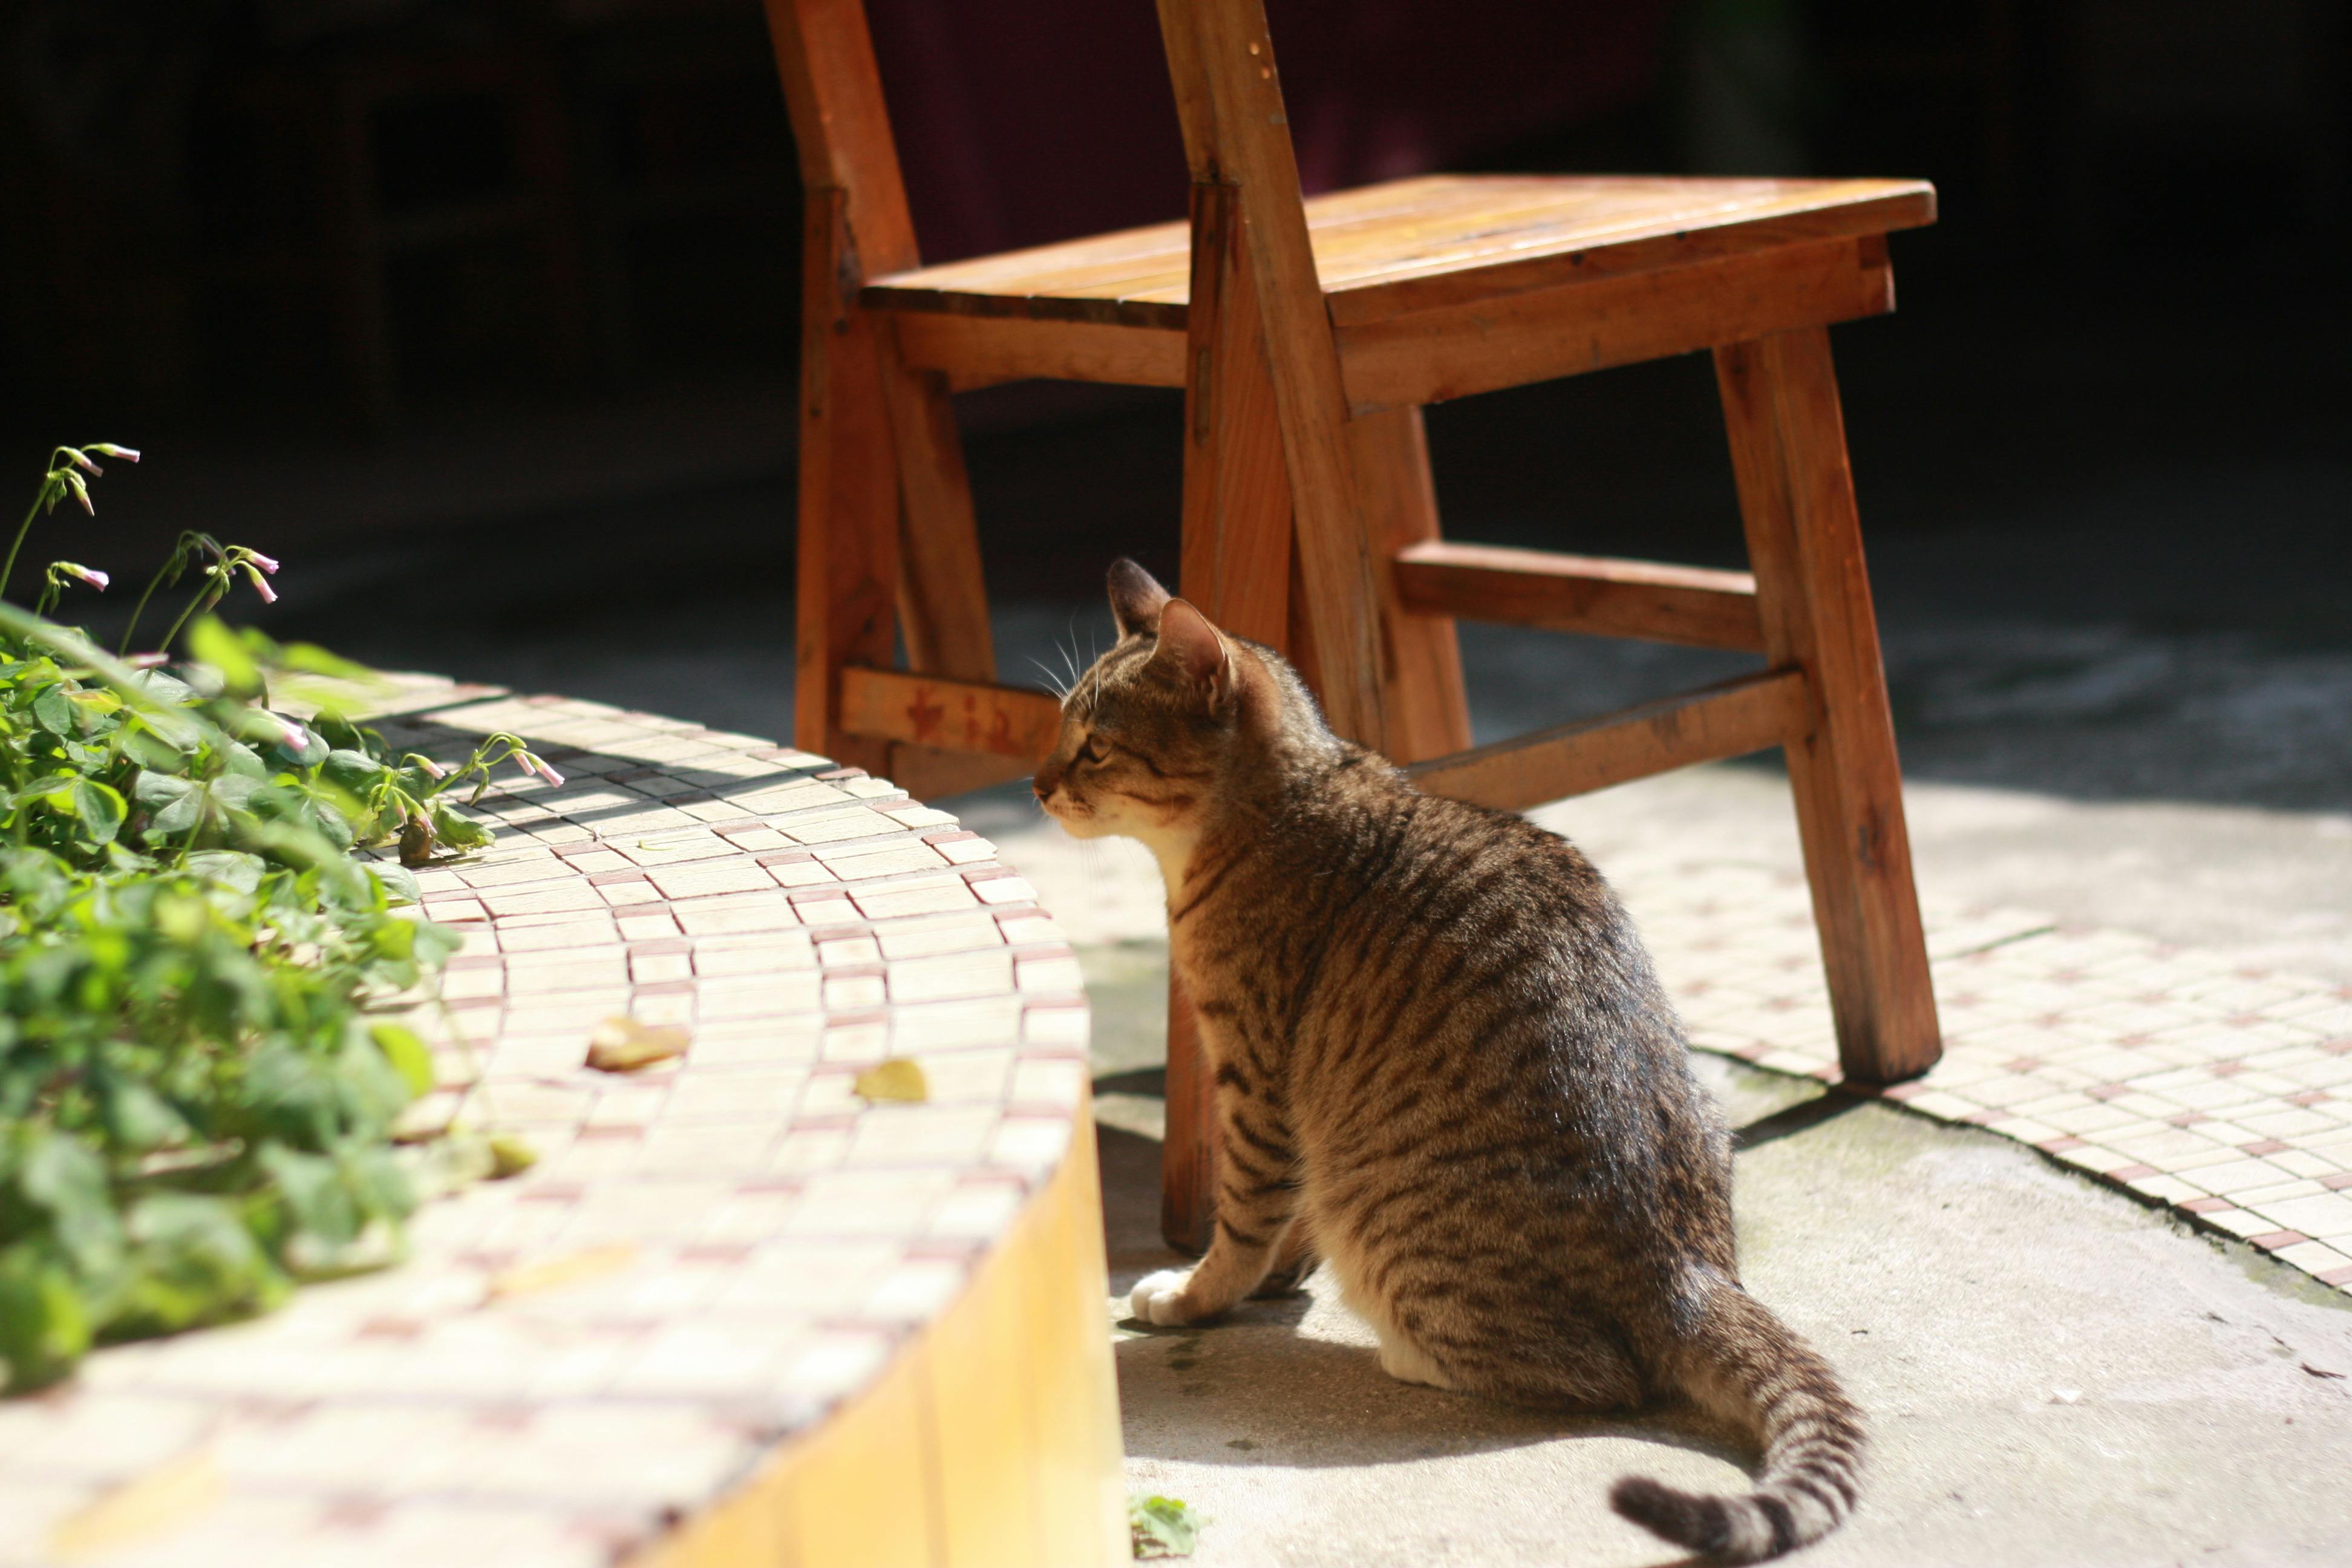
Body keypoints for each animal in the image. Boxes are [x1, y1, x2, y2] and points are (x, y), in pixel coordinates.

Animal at [1039, 561, 1863, 1561]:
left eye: (1095, 748)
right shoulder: (1296, 1113)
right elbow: (1285, 1220)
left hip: (1402, 1235)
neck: (1282, 804)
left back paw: (1410, 1354)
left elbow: (1239, 1224)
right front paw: (1279, 1274)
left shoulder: (1255, 1081)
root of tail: (1689, 1276)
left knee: (1597, 1377)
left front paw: (1198, 1295)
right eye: (1061, 734)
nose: (1035, 786)